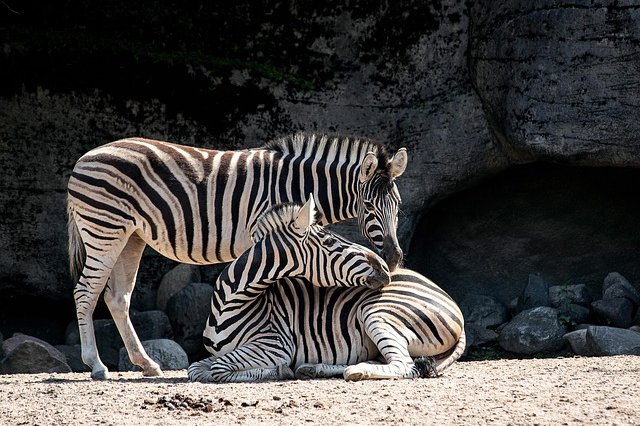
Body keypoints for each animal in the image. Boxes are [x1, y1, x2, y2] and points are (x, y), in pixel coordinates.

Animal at [67, 132, 407, 379]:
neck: (298, 184)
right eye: (369, 206)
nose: (393, 258)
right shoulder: (264, 233)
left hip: (131, 236)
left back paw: (147, 364)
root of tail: (84, 158)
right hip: (104, 229)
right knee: (85, 292)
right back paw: (96, 365)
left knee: (117, 297)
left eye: (399, 205)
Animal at [188, 201, 465, 383]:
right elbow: (196, 369)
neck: (231, 302)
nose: (386, 267)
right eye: (331, 241)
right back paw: (315, 368)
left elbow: (217, 369)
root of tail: (452, 303)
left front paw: (279, 370)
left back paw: (355, 371)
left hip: (378, 312)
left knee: (405, 366)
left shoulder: (276, 344)